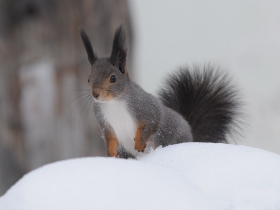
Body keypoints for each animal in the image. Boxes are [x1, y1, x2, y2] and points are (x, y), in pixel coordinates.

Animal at [79, 25, 241, 158]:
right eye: (88, 79)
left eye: (113, 78)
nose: (95, 94)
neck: (113, 103)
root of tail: (192, 138)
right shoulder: (104, 122)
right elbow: (110, 139)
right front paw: (111, 154)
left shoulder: (147, 108)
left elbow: (151, 123)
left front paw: (139, 143)